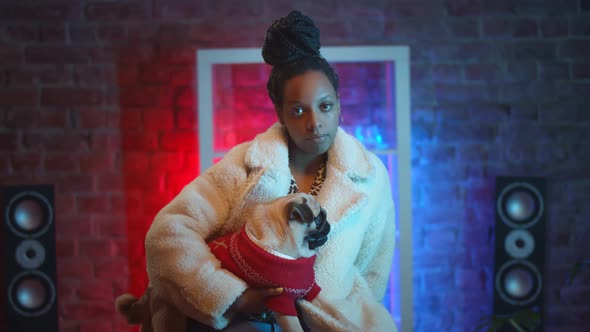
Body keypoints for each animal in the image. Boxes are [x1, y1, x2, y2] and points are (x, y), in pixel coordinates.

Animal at [115, 192, 328, 332]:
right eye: (318, 219)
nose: (328, 223)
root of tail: (152, 287)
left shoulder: (311, 290)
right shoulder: (282, 304)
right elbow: (296, 327)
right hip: (171, 318)